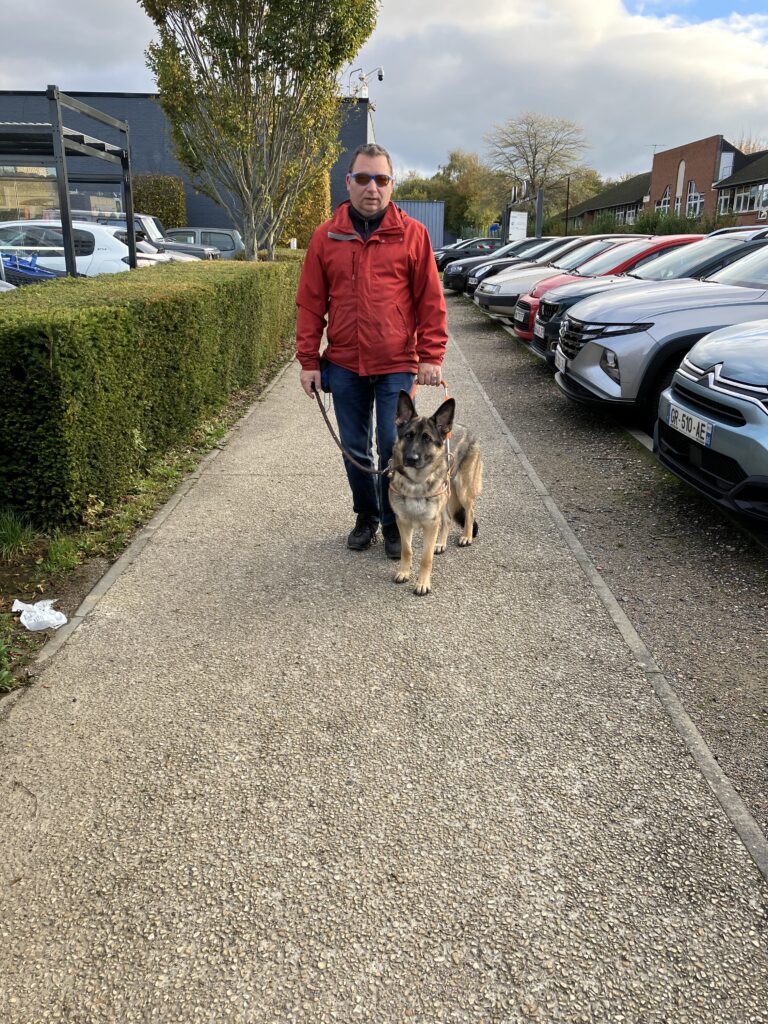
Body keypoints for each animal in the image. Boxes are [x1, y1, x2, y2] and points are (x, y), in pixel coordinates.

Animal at [391, 391, 481, 598]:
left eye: (427, 439)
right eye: (408, 436)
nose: (411, 459)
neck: (416, 483)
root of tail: (464, 427)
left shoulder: (431, 524)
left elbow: (426, 557)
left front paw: (423, 583)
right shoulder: (403, 522)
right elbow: (407, 550)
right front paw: (404, 572)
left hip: (462, 489)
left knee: (470, 510)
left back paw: (466, 536)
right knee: (447, 519)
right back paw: (441, 543)